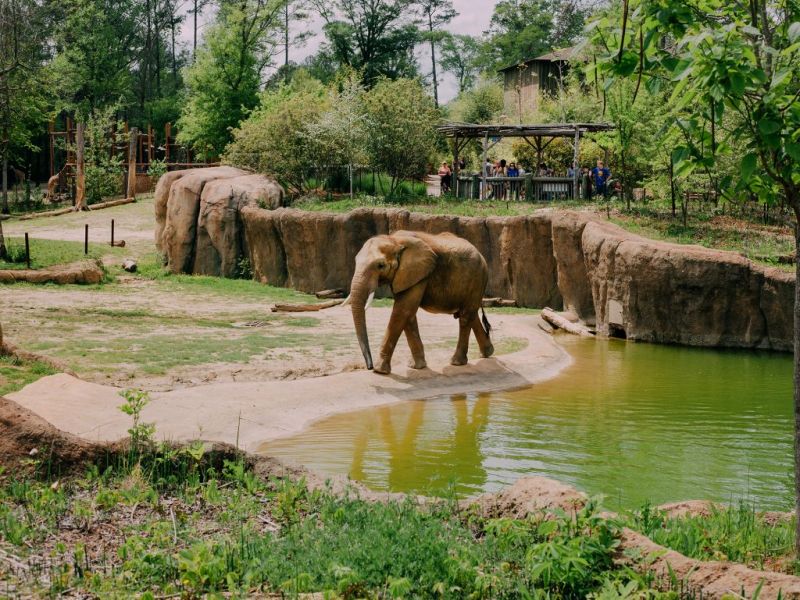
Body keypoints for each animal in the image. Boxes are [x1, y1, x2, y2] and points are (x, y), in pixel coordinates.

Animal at [348, 230, 494, 376]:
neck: (394, 240)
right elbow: (408, 314)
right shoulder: (405, 276)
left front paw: (379, 371)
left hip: (477, 278)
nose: (369, 366)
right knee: (470, 314)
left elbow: (402, 310)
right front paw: (416, 366)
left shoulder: (418, 274)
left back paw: (457, 362)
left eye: (380, 265)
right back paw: (487, 353)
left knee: (465, 317)